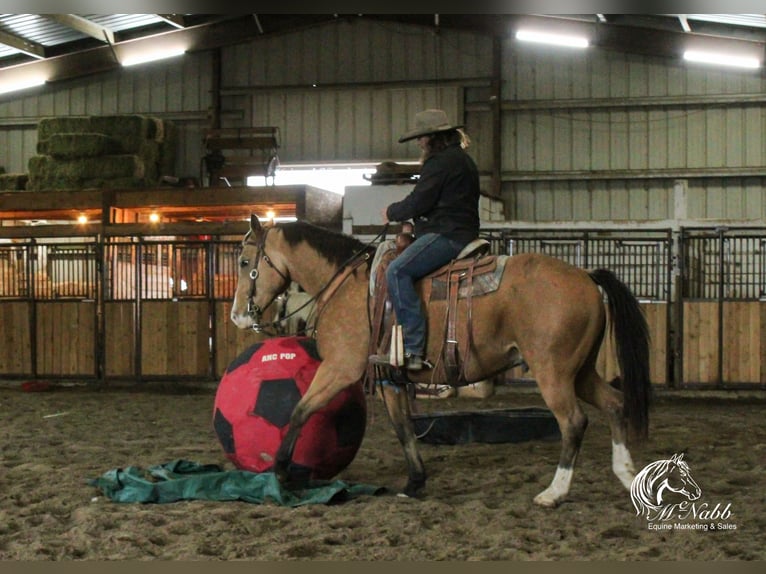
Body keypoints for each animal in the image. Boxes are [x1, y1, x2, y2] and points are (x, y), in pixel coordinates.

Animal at [231, 216, 652, 508]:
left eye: (245, 260)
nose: (237, 316)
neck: (347, 283)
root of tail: (586, 276)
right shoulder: (389, 377)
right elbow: (403, 428)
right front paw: (415, 483)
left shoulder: (340, 368)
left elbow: (300, 411)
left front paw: (281, 472)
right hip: (579, 372)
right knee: (614, 404)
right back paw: (627, 475)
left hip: (553, 373)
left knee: (573, 422)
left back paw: (554, 492)